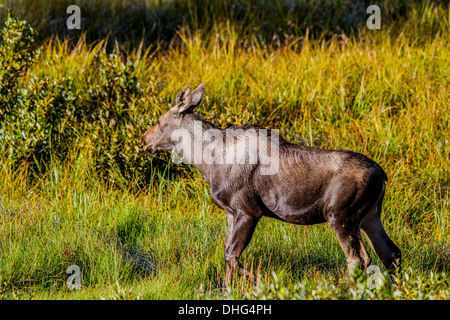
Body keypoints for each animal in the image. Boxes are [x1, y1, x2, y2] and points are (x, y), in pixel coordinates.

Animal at [141, 82, 400, 284]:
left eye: (159, 120)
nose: (143, 140)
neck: (206, 162)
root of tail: (383, 175)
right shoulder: (229, 212)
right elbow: (225, 253)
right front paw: (227, 289)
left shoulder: (249, 210)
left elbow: (231, 255)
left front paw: (259, 281)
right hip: (368, 216)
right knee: (390, 253)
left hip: (341, 214)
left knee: (358, 258)